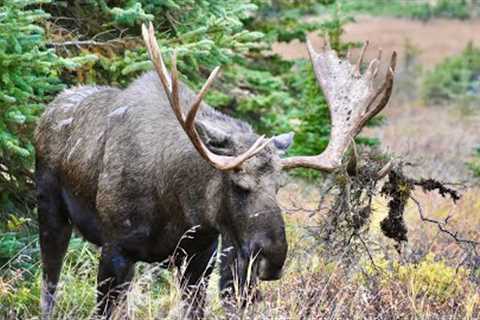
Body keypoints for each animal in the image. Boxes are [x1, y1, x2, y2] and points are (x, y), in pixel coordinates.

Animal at [34, 22, 398, 318]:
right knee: (49, 285)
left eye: (279, 185)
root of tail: (47, 111)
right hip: (50, 212)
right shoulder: (117, 249)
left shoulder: (201, 256)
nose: (272, 257)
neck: (176, 205)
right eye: (239, 184)